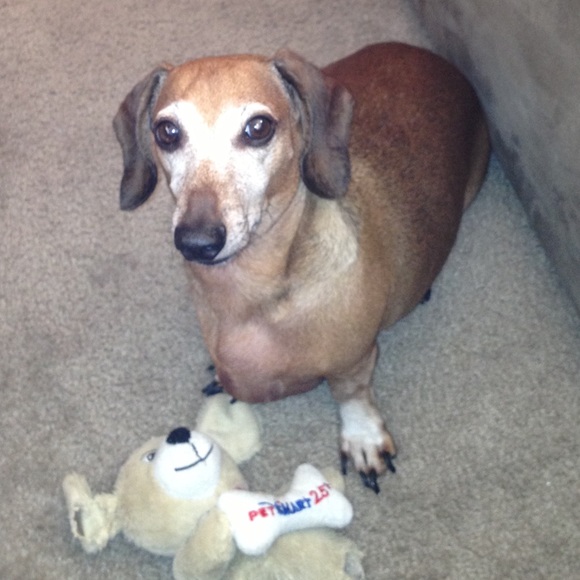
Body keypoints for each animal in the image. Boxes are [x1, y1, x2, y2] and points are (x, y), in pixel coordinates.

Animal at [113, 43, 490, 492]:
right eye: (167, 132)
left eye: (258, 128)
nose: (197, 241)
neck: (254, 291)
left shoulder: (354, 360)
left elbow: (351, 394)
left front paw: (362, 435)